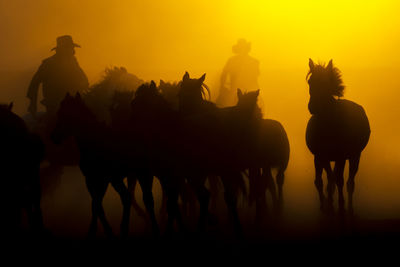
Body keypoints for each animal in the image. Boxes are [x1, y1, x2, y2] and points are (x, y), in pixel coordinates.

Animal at [304, 59, 370, 214]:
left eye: (325, 82)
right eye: (310, 81)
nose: (312, 107)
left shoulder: (341, 157)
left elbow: (338, 180)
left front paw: (340, 205)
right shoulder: (320, 156)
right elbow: (322, 181)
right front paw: (325, 206)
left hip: (354, 156)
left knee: (349, 182)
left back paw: (349, 206)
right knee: (332, 179)